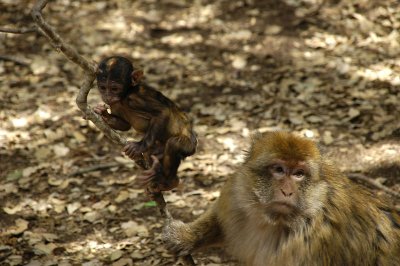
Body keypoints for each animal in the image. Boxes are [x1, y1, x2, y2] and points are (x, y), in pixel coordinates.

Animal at [95, 55, 198, 191]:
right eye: (103, 87)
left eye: (114, 88)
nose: (107, 96)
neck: (125, 96)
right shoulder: (114, 104)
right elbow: (124, 125)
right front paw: (103, 114)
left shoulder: (137, 98)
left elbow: (162, 112)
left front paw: (139, 146)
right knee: (154, 152)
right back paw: (156, 172)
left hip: (189, 145)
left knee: (174, 144)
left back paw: (170, 181)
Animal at [163, 132, 400, 264]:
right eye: (278, 169)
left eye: (299, 174)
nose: (287, 191)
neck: (275, 222)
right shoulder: (236, 192)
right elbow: (221, 222)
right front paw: (184, 236)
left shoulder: (316, 241)